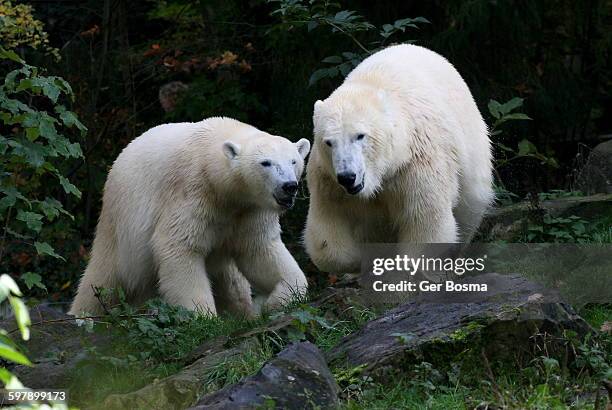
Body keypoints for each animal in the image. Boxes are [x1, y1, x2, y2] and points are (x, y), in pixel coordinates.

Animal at [70, 118, 310, 318]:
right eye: (265, 163)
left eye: (293, 161)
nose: (289, 186)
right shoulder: (193, 192)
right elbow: (179, 246)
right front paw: (204, 317)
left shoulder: (250, 210)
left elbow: (259, 250)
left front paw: (275, 301)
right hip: (120, 223)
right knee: (104, 277)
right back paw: (82, 315)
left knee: (232, 283)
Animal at [304, 44, 494, 272]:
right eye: (329, 142)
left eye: (360, 135)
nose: (348, 177)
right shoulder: (328, 180)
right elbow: (327, 228)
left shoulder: (416, 163)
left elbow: (426, 220)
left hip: (471, 145)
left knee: (470, 203)